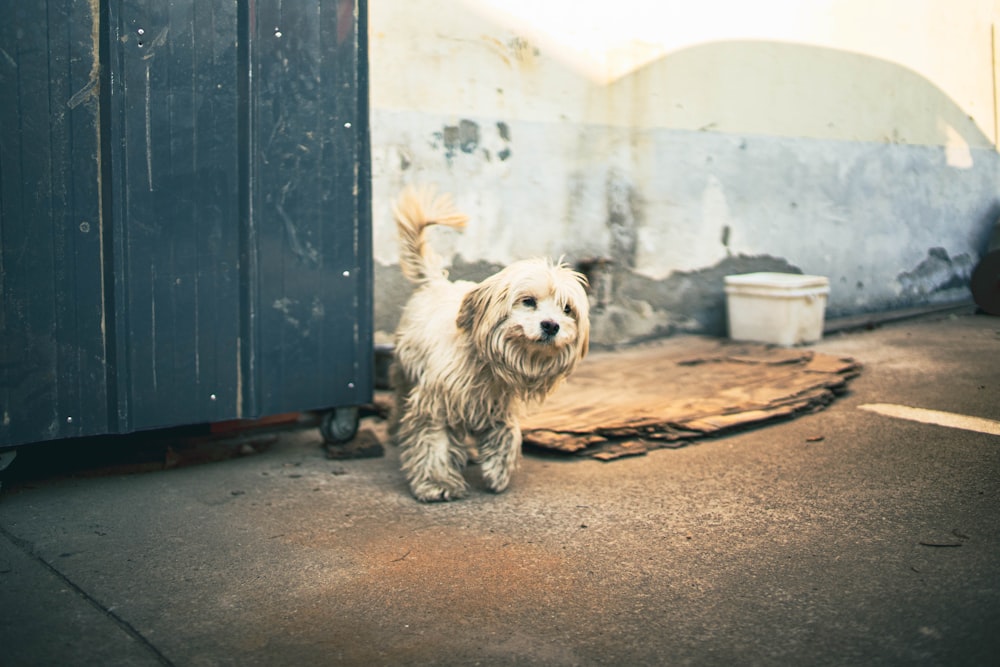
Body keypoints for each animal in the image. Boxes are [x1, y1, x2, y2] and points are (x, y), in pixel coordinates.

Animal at [390, 187, 588, 500]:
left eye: (567, 309)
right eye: (528, 301)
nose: (551, 325)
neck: (486, 366)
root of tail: (435, 282)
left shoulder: (497, 406)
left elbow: (506, 433)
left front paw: (498, 470)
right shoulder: (435, 404)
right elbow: (434, 444)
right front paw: (437, 483)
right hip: (403, 371)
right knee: (400, 399)